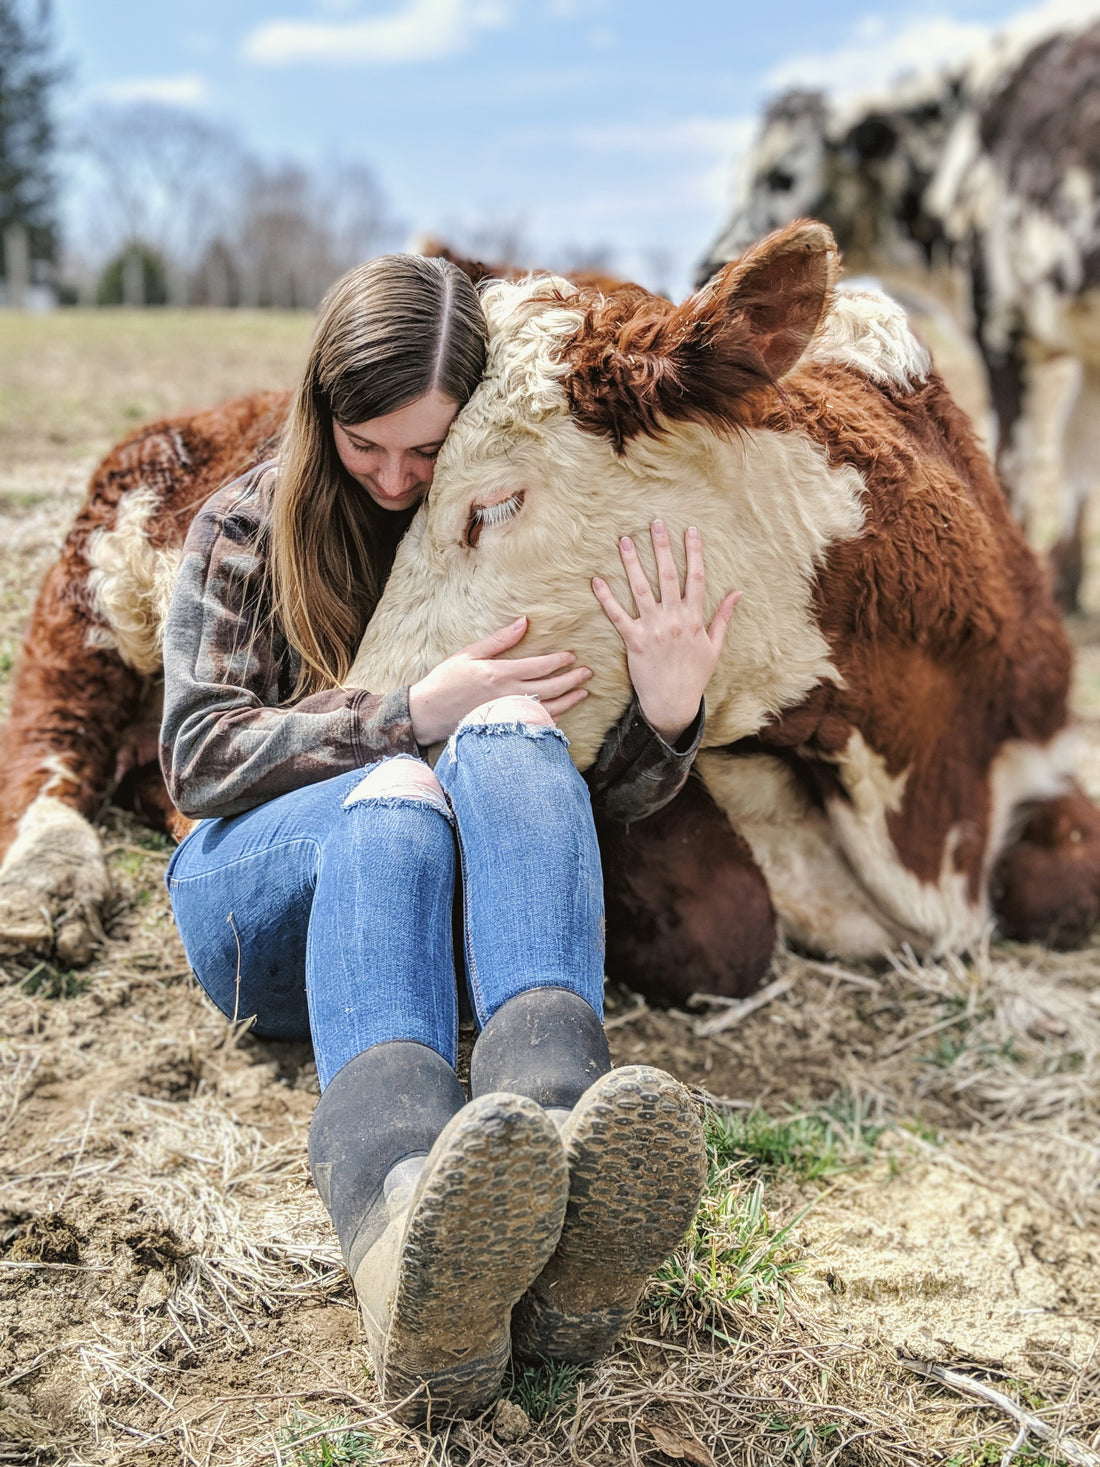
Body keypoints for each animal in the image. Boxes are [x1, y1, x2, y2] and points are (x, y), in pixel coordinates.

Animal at [2, 220, 1100, 997]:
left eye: (489, 504)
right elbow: (729, 917)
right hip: (95, 577)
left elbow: (1067, 882)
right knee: (50, 739)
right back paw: (46, 883)